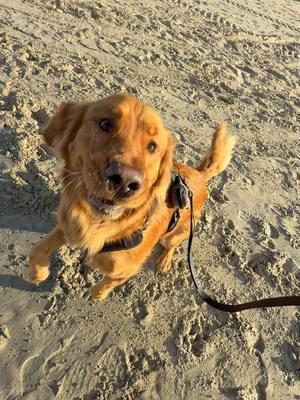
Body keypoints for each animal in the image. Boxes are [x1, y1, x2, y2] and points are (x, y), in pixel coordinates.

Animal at [27, 94, 234, 300]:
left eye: (153, 147)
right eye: (105, 124)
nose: (125, 181)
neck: (98, 223)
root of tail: (199, 174)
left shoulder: (123, 271)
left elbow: (104, 285)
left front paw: (96, 293)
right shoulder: (68, 225)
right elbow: (38, 248)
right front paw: (38, 273)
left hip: (179, 231)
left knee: (172, 245)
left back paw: (164, 260)